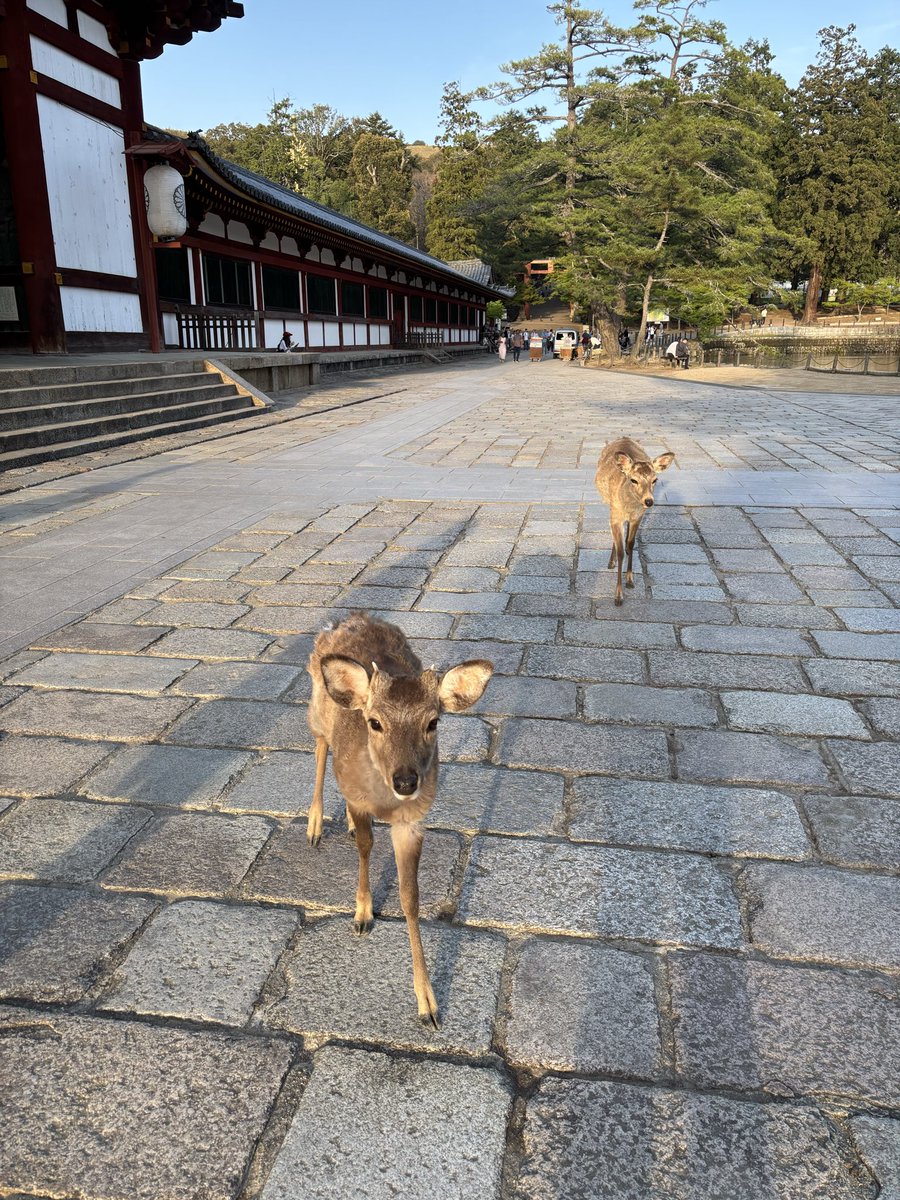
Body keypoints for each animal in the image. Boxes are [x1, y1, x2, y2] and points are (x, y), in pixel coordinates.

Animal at [305, 612, 493, 1027]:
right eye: (374, 722)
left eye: (433, 722)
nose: (406, 781)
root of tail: (351, 617)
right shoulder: (360, 801)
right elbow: (365, 848)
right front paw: (362, 915)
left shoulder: (412, 822)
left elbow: (411, 897)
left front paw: (428, 1004)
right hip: (316, 709)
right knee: (321, 746)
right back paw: (314, 825)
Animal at [595, 437, 675, 605]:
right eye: (633, 480)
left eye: (655, 479)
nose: (649, 501)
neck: (629, 507)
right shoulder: (616, 516)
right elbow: (620, 551)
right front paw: (618, 596)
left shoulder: (638, 517)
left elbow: (630, 545)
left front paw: (630, 580)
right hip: (610, 506)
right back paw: (611, 562)